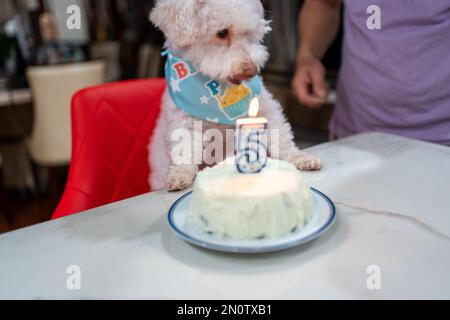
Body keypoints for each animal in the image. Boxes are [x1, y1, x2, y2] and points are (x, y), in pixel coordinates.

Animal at [149, 0, 322, 191]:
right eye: (222, 33)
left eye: (248, 32)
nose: (253, 71)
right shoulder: (183, 119)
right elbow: (184, 147)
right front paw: (179, 174)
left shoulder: (265, 106)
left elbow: (281, 135)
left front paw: (299, 157)